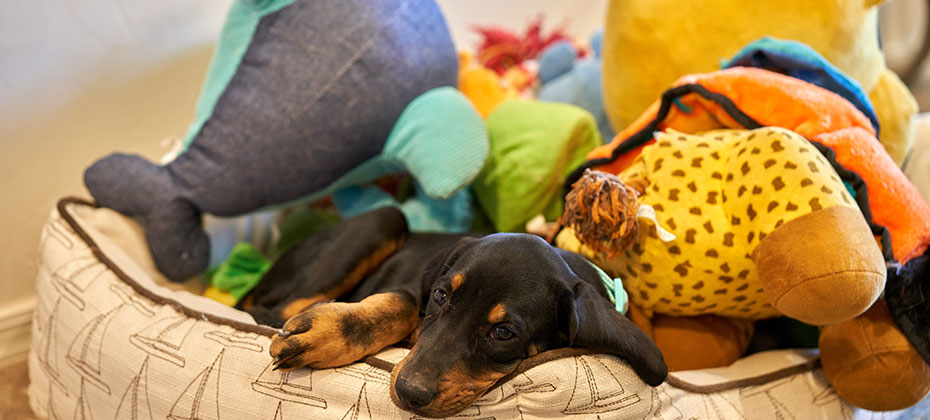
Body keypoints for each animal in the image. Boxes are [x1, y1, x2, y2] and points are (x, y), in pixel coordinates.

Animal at [236, 207, 664, 416]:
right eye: (441, 296)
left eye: (503, 333)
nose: (407, 394)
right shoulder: (416, 290)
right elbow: (400, 302)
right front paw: (326, 333)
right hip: (384, 219)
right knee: (279, 306)